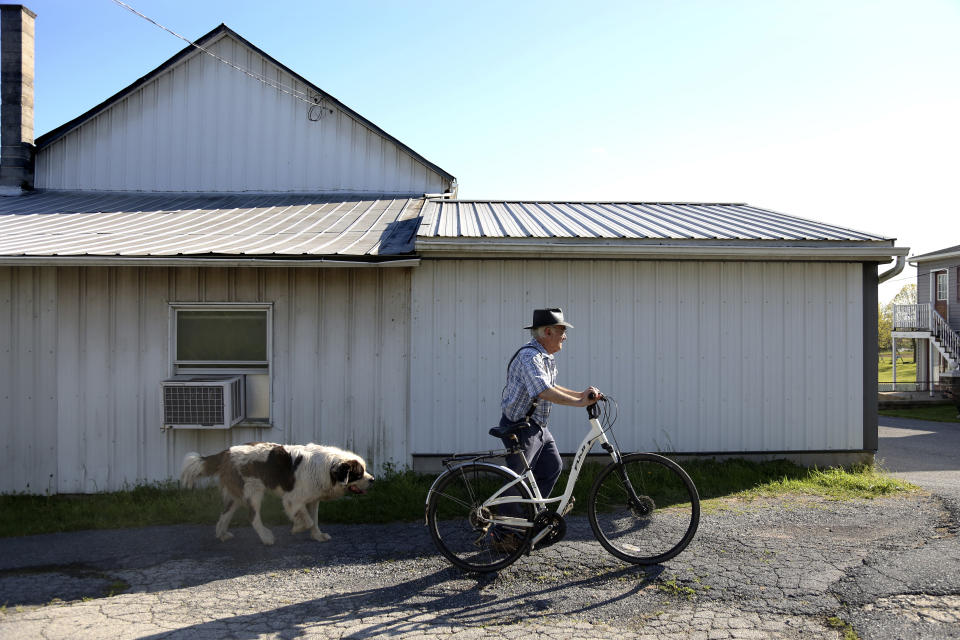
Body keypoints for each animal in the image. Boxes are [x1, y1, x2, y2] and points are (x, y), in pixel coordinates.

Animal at [180, 444, 376, 544]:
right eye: (359, 473)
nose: (373, 479)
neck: (328, 468)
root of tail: (226, 452)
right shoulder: (292, 499)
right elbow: (307, 520)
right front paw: (297, 528)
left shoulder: (313, 500)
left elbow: (314, 520)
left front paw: (318, 536)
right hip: (253, 491)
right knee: (252, 516)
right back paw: (266, 537)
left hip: (236, 495)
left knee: (224, 515)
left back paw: (222, 534)